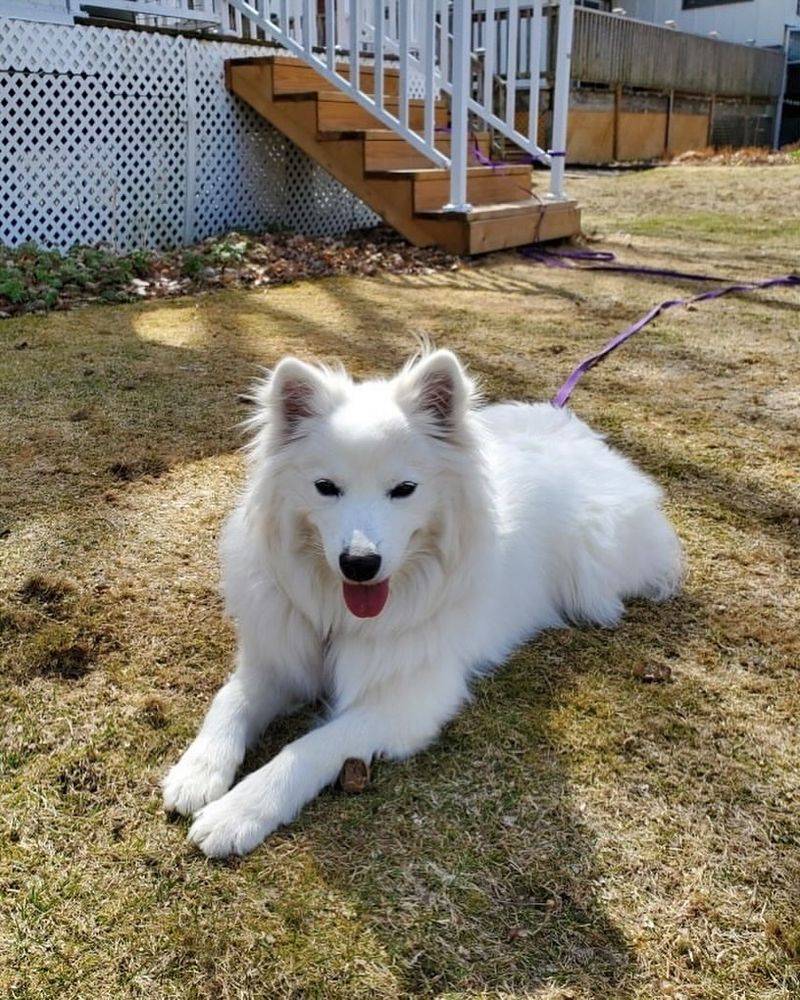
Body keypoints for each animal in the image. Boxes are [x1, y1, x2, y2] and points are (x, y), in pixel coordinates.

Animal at [162, 348, 680, 856]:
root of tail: (575, 430)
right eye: (326, 487)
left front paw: (239, 811)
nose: (359, 564)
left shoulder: (407, 702)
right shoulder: (277, 661)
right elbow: (229, 702)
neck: (339, 617)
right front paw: (196, 772)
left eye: (404, 490)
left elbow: (309, 747)